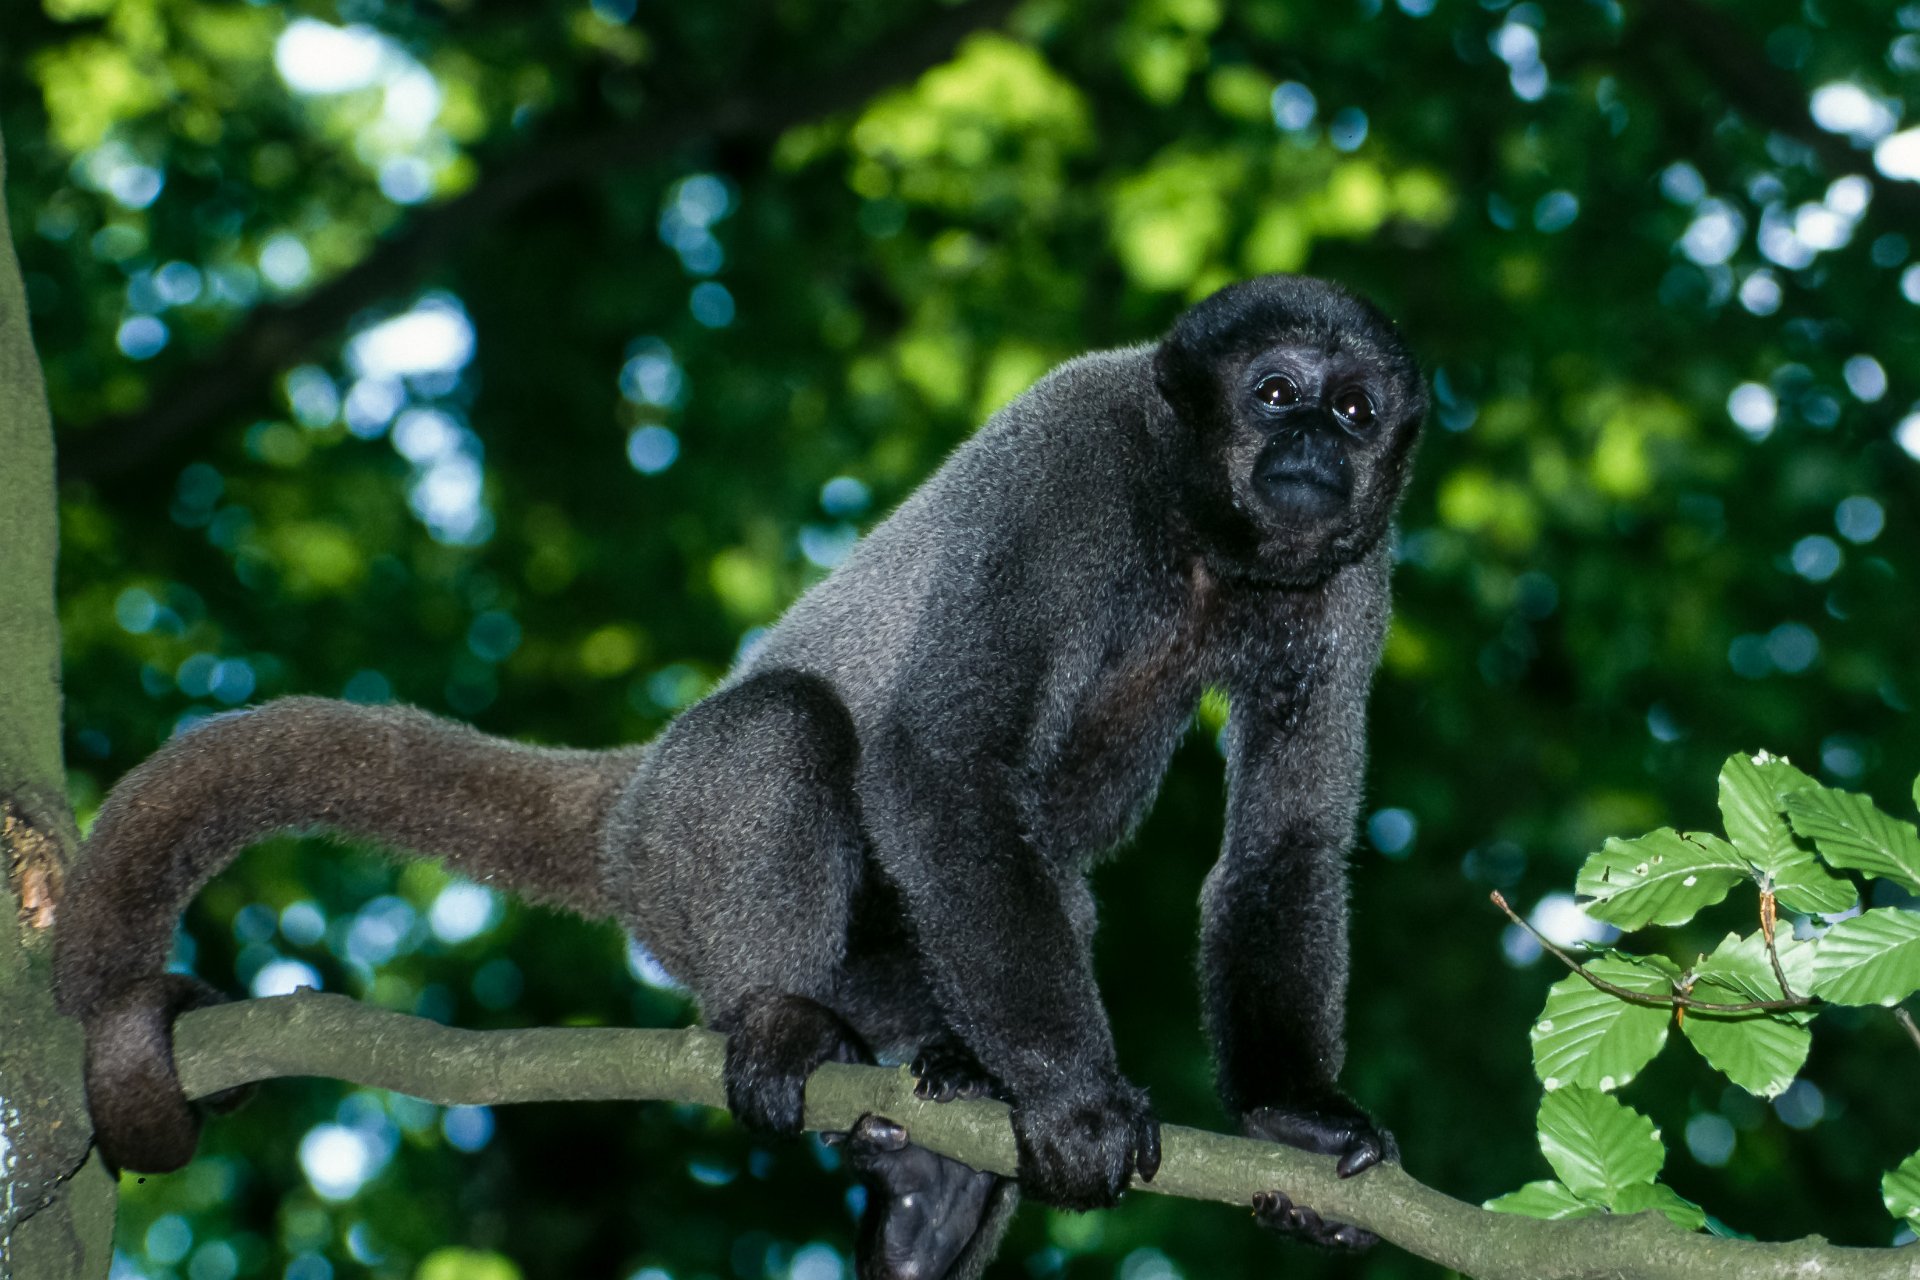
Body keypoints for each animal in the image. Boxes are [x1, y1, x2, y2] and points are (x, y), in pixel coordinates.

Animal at [54, 273, 1425, 1277]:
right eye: (1278, 391)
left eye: (1355, 410)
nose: (1314, 440)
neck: (1199, 539)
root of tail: (633, 792)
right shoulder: (1074, 462)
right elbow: (938, 761)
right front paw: (1076, 1095)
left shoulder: (1353, 575)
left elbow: (1282, 845)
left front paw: (1289, 1117)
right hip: (682, 842)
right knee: (784, 724)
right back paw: (781, 1015)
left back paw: (938, 1144)